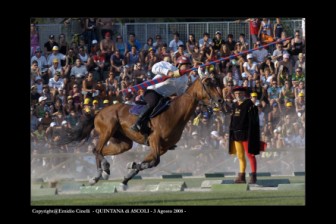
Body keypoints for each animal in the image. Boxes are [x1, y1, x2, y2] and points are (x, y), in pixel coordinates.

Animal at [73, 76, 223, 188]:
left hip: (122, 143)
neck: (175, 113)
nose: (220, 100)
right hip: (107, 131)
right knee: (97, 150)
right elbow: (154, 162)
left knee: (101, 151)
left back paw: (103, 172)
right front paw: (131, 167)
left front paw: (127, 175)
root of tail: (98, 112)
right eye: (208, 84)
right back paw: (99, 174)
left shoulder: (163, 147)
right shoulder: (154, 140)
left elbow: (149, 162)